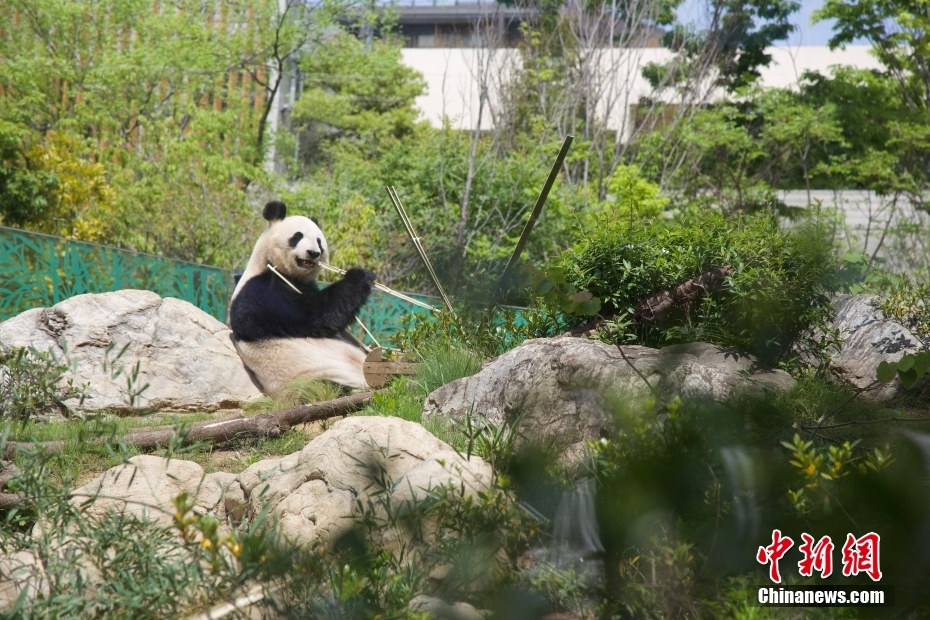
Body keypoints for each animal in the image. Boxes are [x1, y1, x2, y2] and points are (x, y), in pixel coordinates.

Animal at [229, 200, 376, 395]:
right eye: (297, 236)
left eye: (319, 241)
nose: (313, 253)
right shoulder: (260, 294)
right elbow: (315, 315)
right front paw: (361, 276)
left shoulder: (306, 285)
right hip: (315, 377)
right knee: (325, 389)